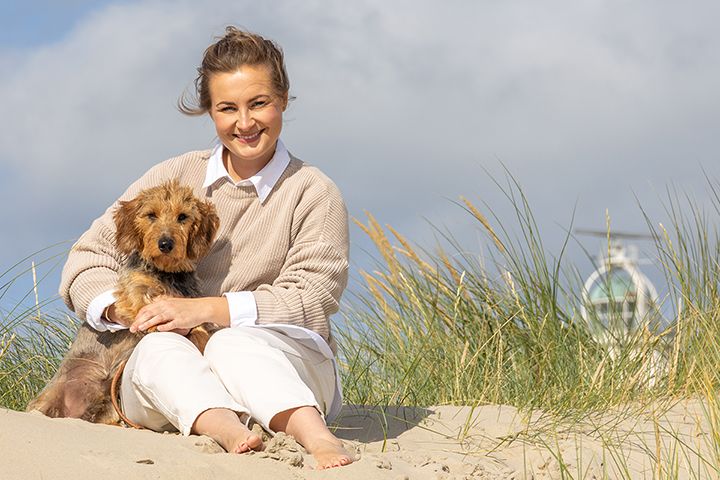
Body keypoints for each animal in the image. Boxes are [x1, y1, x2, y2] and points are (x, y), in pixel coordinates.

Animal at [27, 180, 219, 424]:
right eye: (151, 215)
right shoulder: (134, 289)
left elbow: (200, 329)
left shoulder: (190, 305)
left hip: (110, 405)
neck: (166, 274)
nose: (165, 243)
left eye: (183, 216)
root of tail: (73, 413)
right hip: (47, 399)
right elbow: (142, 300)